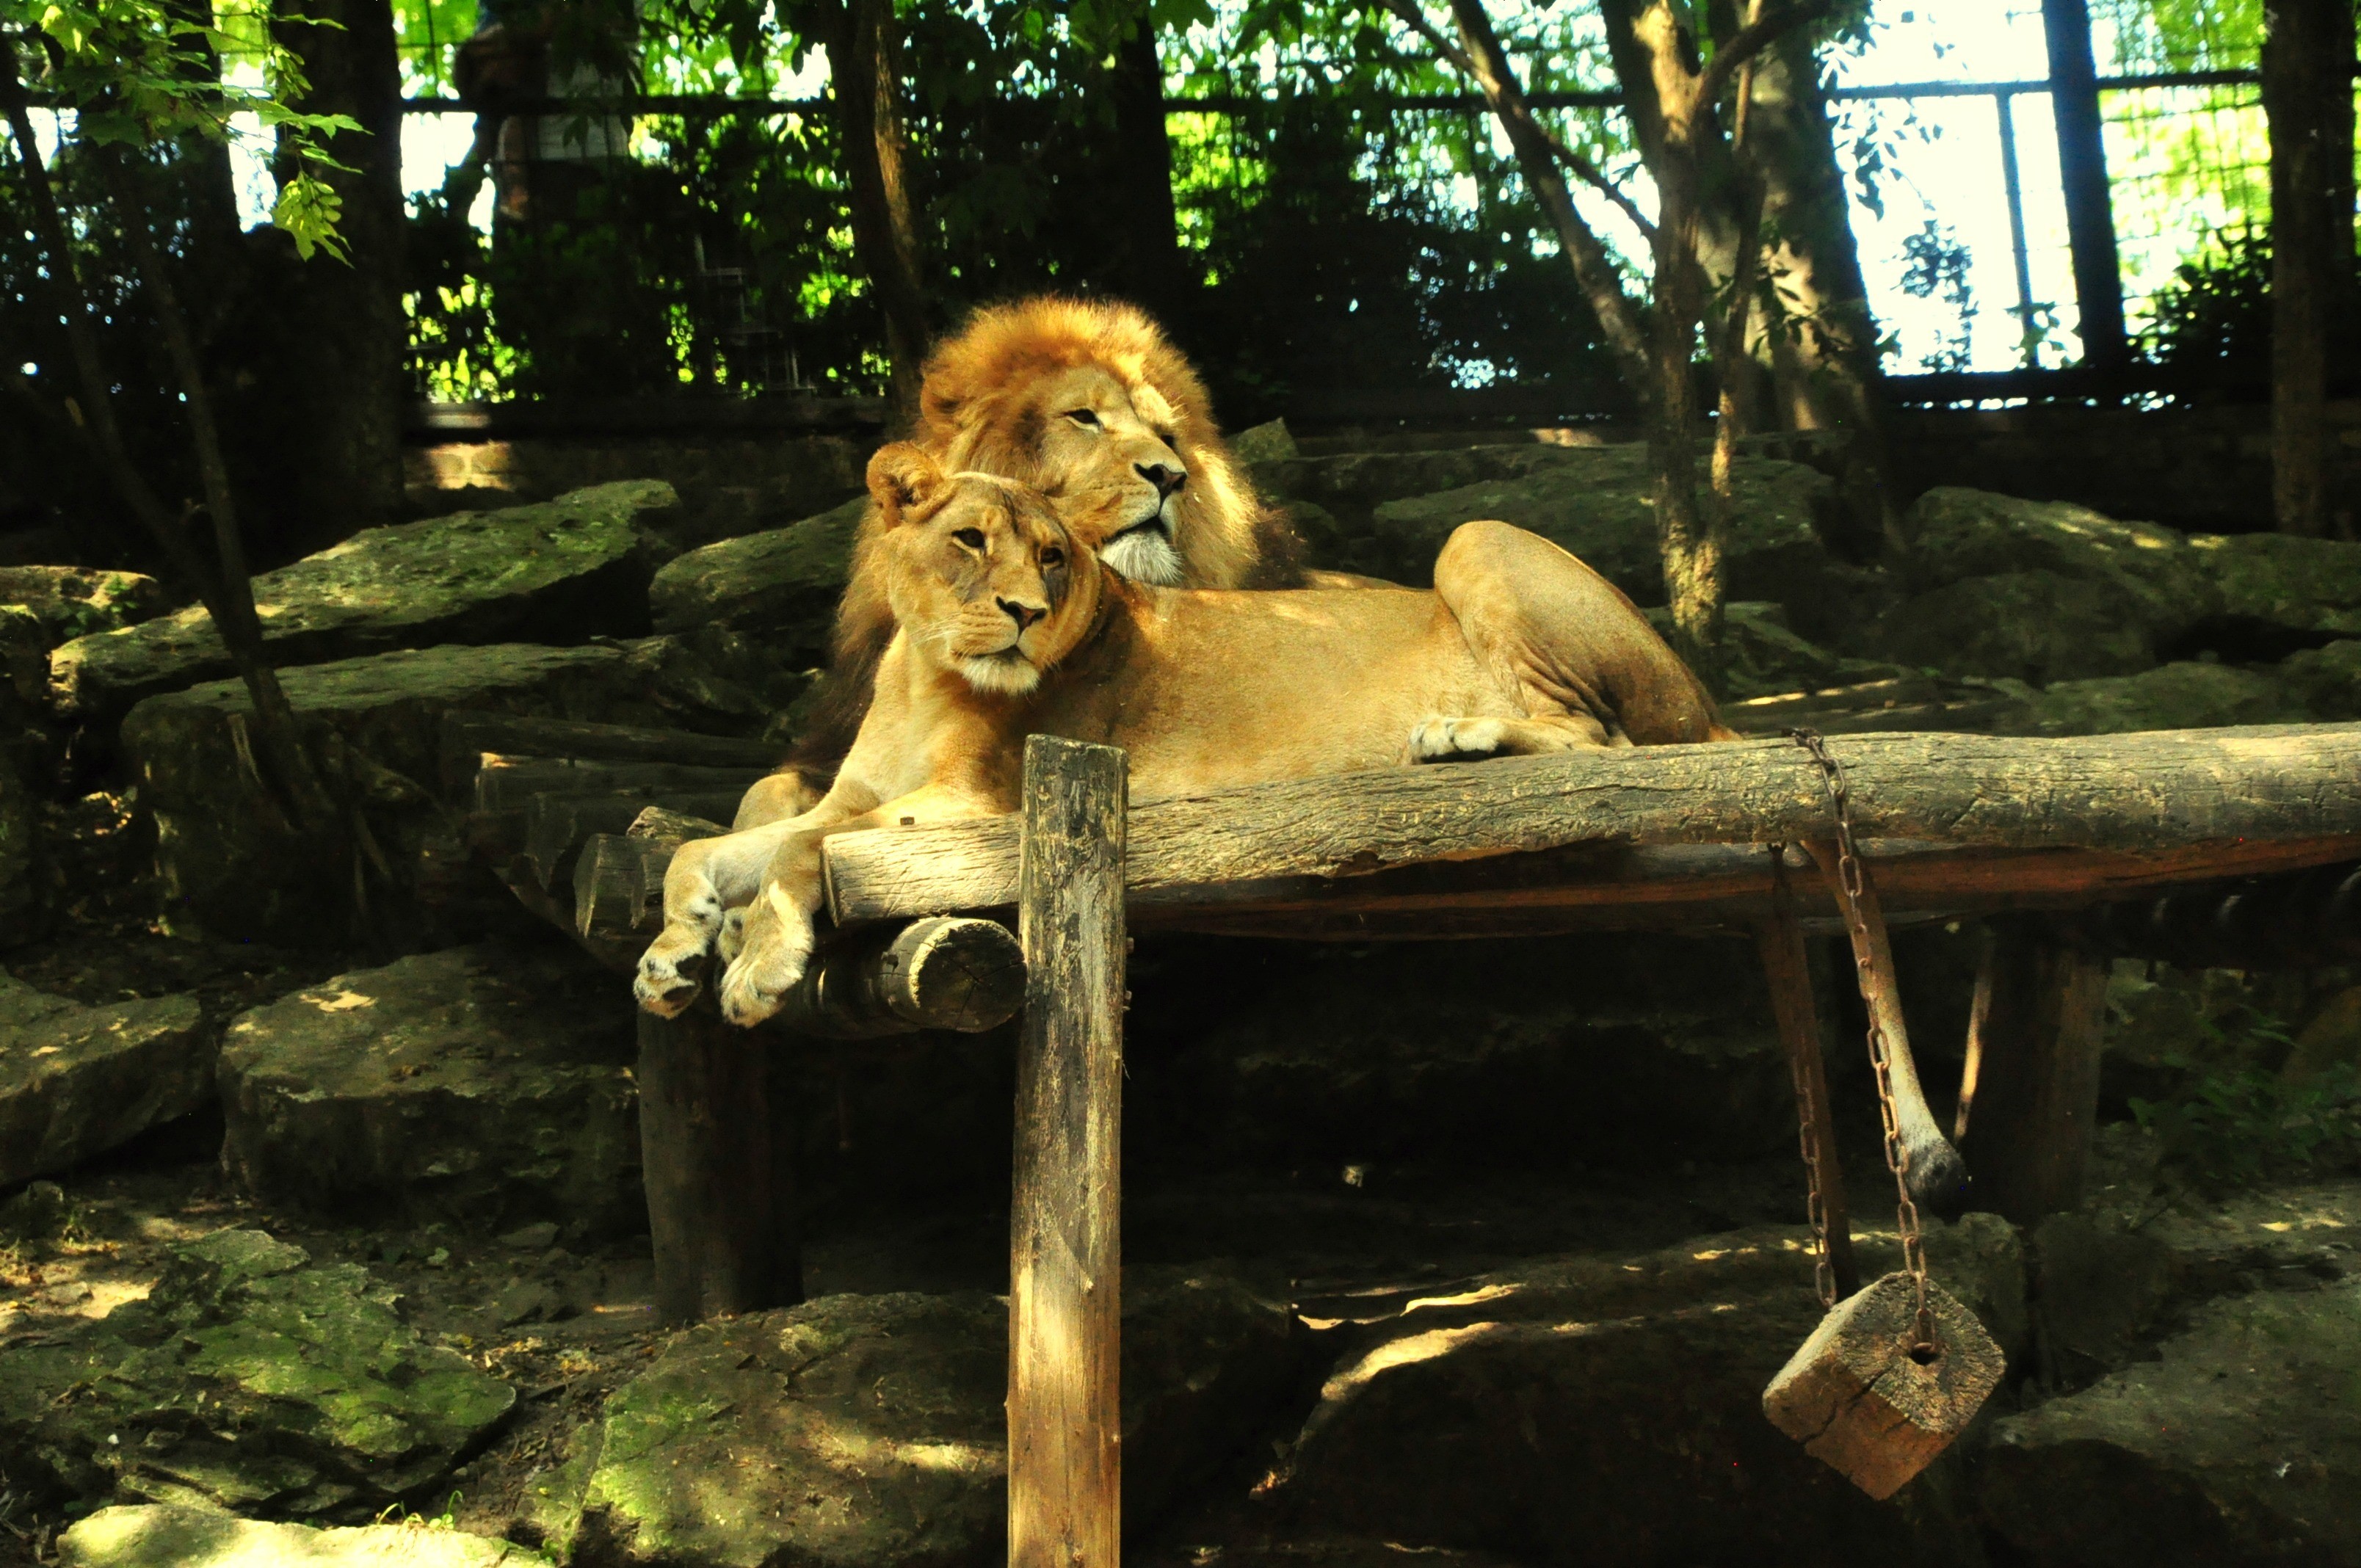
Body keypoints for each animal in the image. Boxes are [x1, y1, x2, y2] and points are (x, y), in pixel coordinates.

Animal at [637, 443, 1728, 1029]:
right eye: (970, 541)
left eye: (1052, 557)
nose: (1026, 612)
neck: (924, 670)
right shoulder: (858, 796)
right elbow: (708, 844)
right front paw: (672, 953)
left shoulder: (977, 807)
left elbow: (799, 851)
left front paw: (751, 964)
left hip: (1478, 540)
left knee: (1607, 746)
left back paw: (1462, 737)